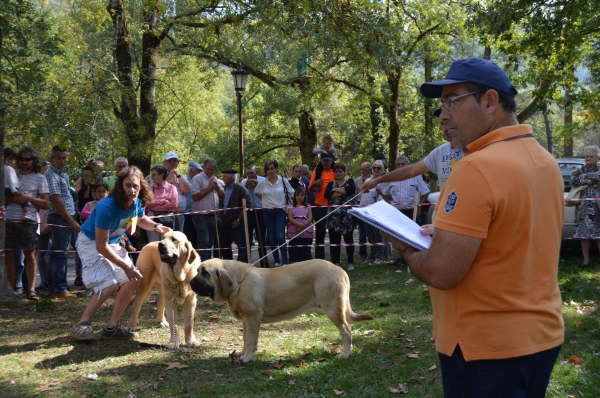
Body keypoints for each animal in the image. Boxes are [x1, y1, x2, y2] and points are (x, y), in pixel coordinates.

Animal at [190, 260, 372, 362]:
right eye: (198, 270)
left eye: (205, 272)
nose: (190, 283)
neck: (238, 282)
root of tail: (339, 270)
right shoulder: (246, 320)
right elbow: (245, 338)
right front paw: (241, 353)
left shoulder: (253, 318)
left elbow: (251, 340)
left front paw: (247, 358)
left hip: (333, 309)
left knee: (346, 331)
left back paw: (345, 354)